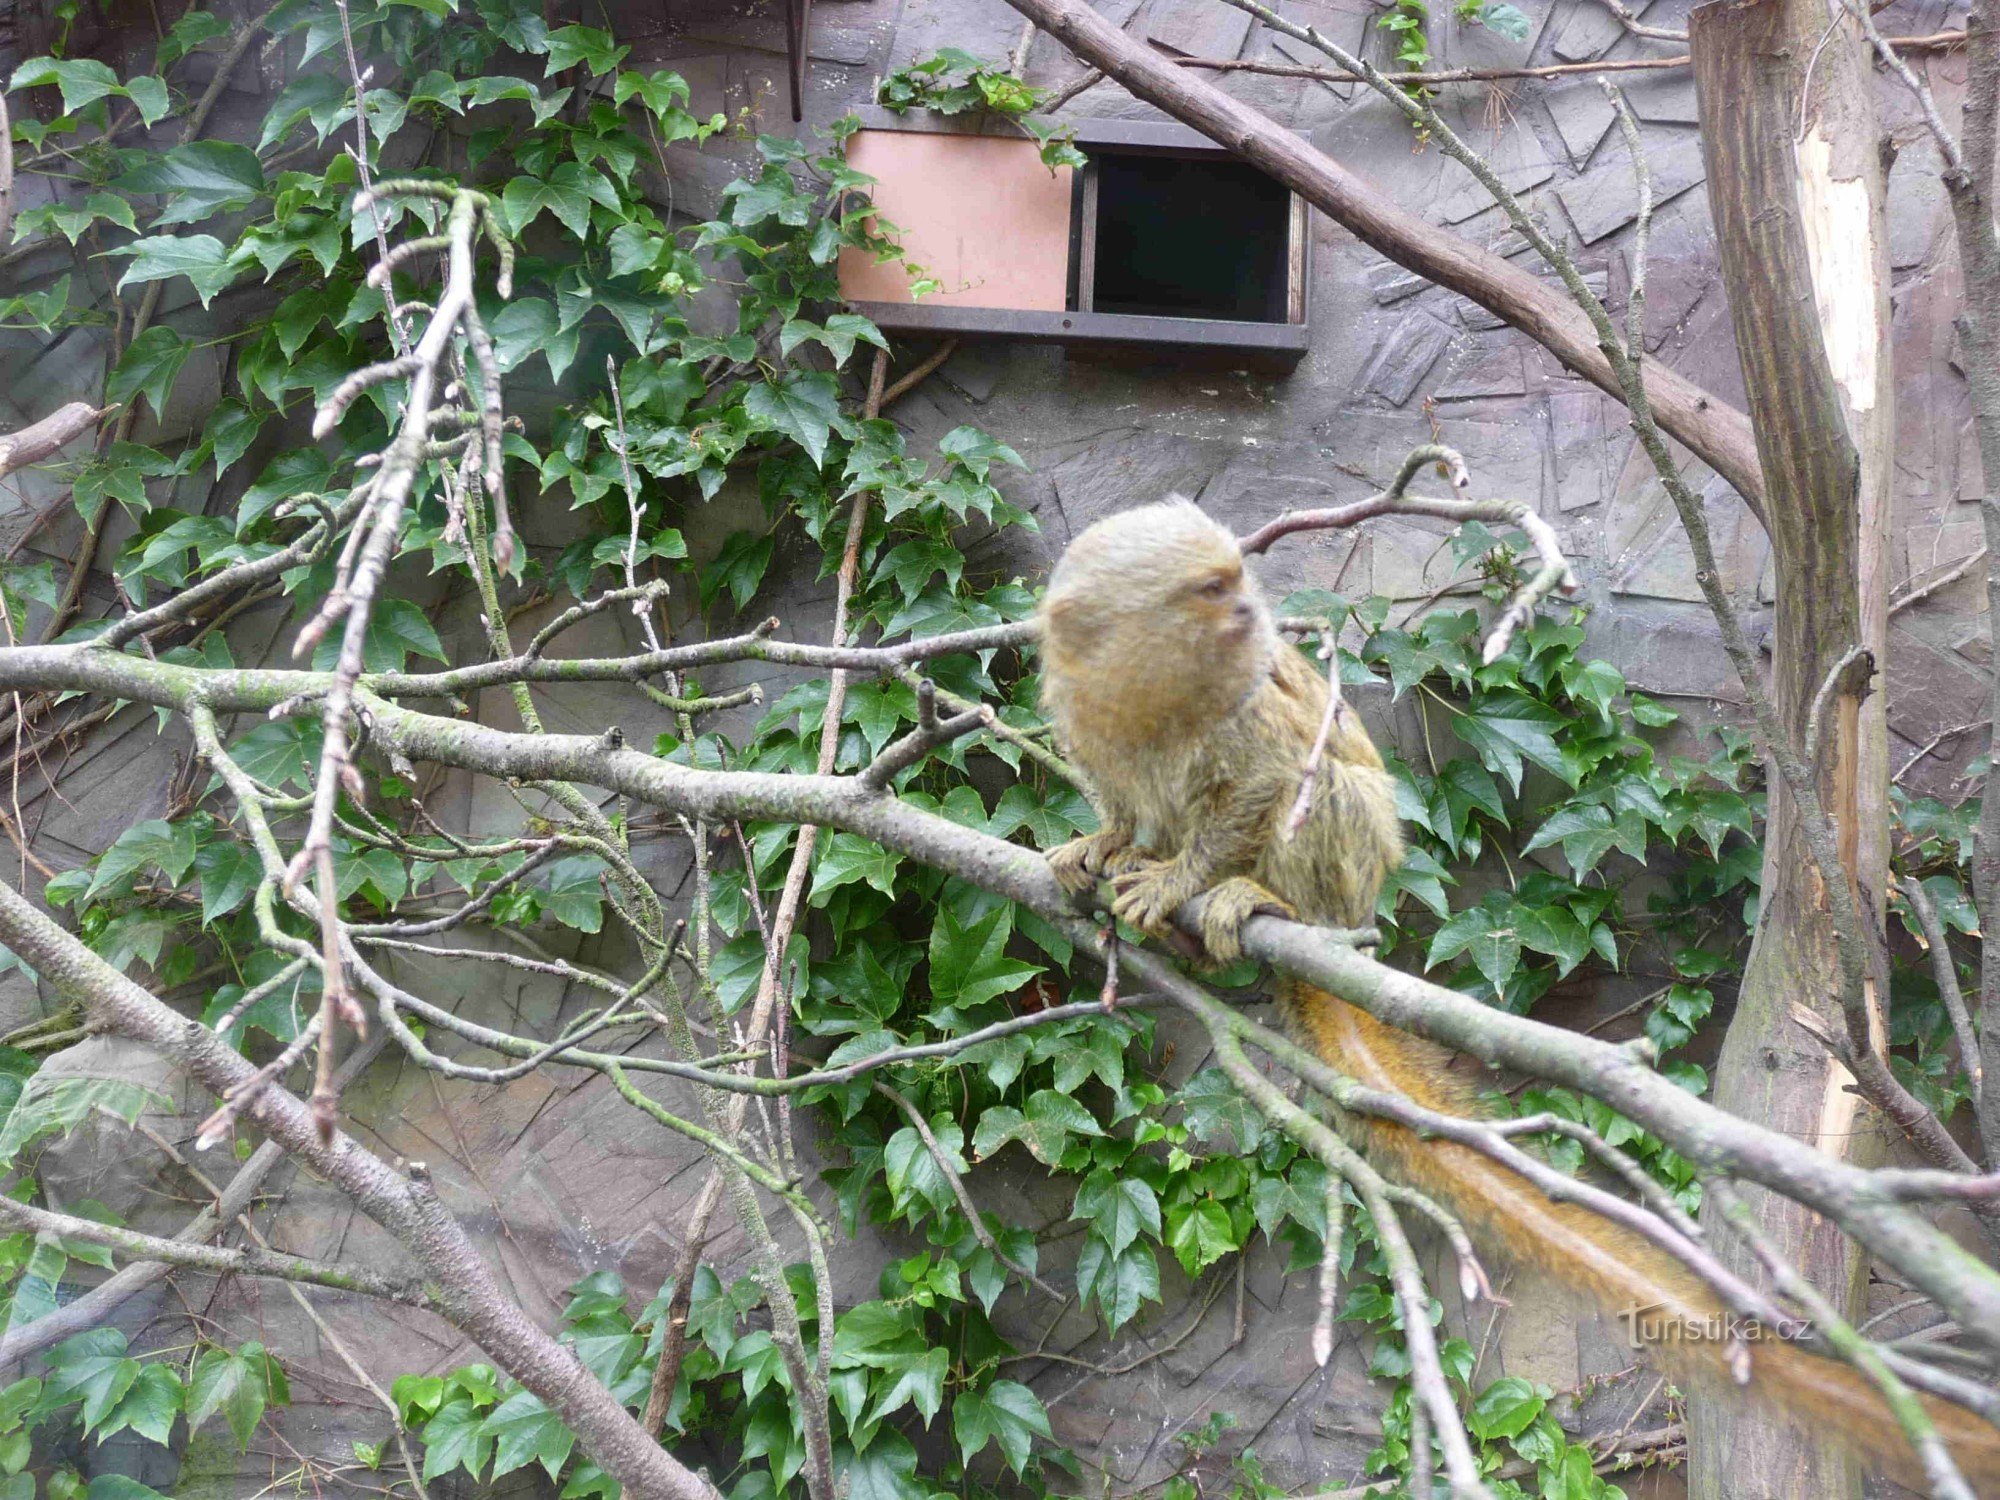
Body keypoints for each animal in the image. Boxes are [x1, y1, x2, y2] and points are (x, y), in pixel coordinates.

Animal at [1040, 496, 1992, 1496]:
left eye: (1231, 583)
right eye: (1206, 589)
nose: (1243, 614)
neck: (1152, 692)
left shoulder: (1242, 704)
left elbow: (1268, 777)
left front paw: (1179, 878)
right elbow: (1124, 797)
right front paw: (1104, 846)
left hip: (1351, 874)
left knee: (1327, 785)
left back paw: (1259, 901)